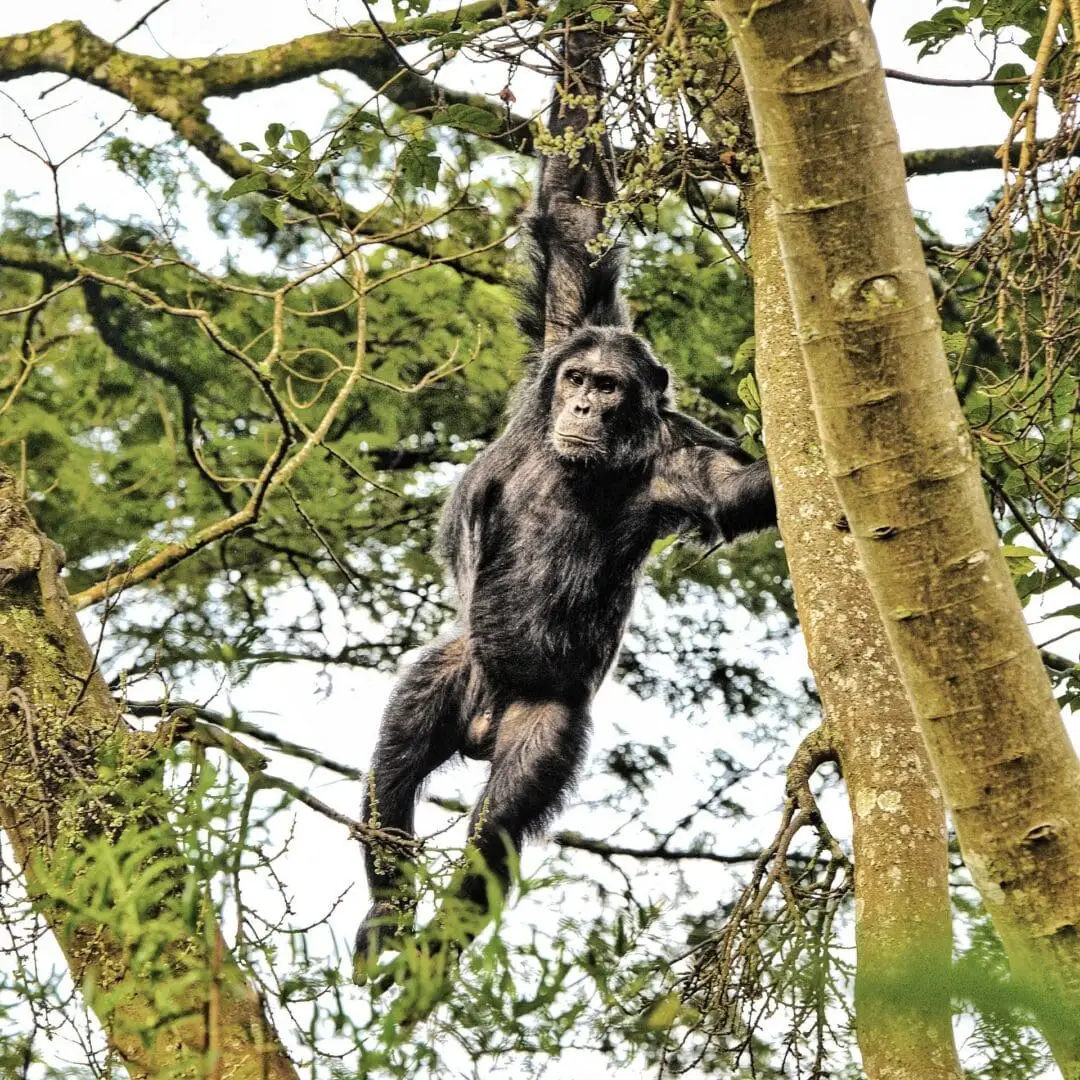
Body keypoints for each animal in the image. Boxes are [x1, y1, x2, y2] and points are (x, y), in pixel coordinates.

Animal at [355, 26, 775, 967]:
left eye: (610, 389)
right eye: (579, 379)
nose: (582, 405)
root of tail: (482, 728)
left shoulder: (686, 470)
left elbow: (747, 490)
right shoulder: (564, 326)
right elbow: (574, 213)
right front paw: (593, 31)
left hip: (543, 726)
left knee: (496, 831)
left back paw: (435, 944)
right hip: (457, 668)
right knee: (394, 764)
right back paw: (390, 910)